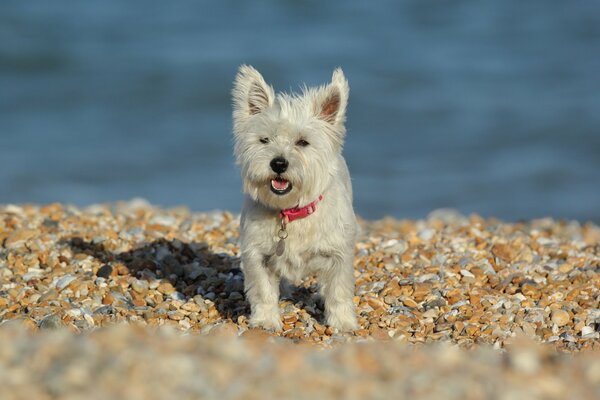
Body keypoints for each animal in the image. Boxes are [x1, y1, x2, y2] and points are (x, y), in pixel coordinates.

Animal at [232, 65, 358, 332]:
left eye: (303, 142)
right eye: (264, 140)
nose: (278, 163)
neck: (290, 212)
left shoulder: (338, 254)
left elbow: (338, 291)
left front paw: (343, 323)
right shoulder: (257, 254)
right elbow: (263, 291)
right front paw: (265, 321)